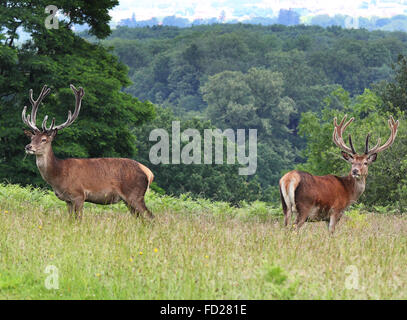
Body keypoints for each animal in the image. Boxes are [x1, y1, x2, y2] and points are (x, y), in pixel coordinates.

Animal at [23, 84, 155, 220]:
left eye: (44, 139)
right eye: (32, 138)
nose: (28, 147)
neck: (59, 174)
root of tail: (149, 173)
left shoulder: (79, 195)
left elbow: (79, 219)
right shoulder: (67, 200)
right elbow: (70, 220)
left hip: (135, 194)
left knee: (151, 216)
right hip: (128, 200)